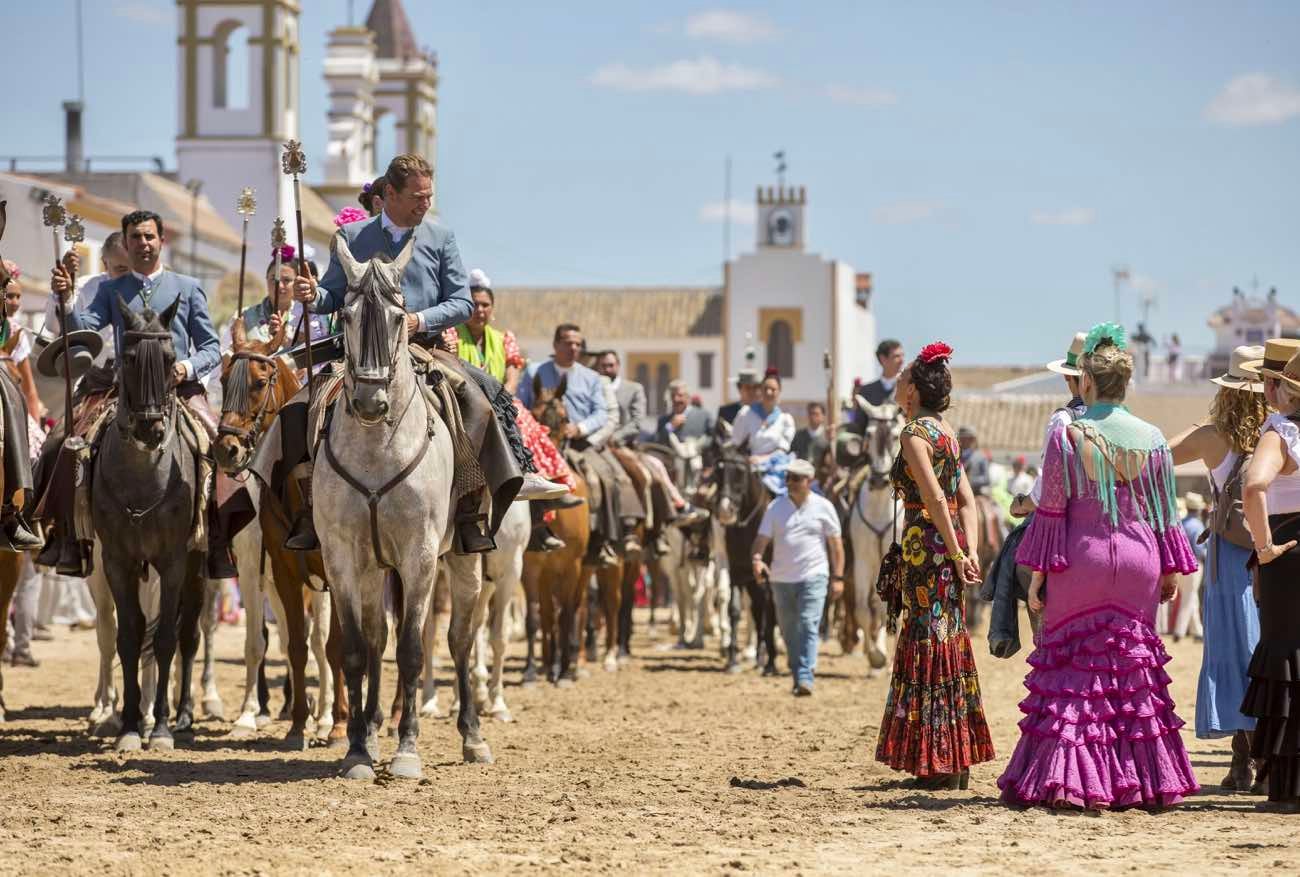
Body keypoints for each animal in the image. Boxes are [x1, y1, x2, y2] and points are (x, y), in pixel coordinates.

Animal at [317, 233, 488, 784]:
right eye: (346, 315)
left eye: (397, 317)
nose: (371, 403)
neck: (377, 448)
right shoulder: (342, 558)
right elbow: (356, 650)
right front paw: (356, 749)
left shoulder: (419, 555)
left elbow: (413, 650)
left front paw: (408, 751)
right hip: (375, 570)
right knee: (375, 640)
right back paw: (371, 730)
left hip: (463, 562)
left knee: (459, 640)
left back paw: (472, 736)